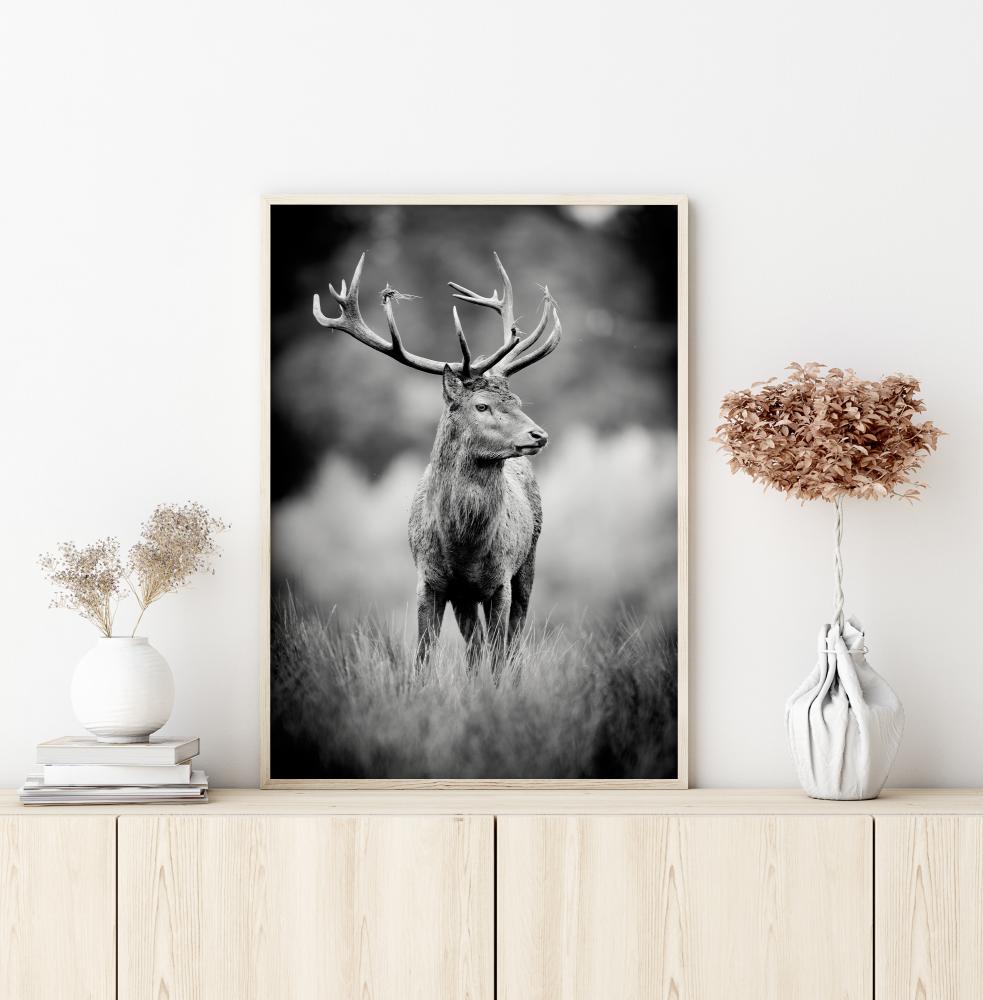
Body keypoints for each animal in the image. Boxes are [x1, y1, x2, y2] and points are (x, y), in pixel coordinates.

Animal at [313, 251, 561, 673]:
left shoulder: (499, 580)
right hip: (466, 595)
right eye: (481, 406)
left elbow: (499, 657)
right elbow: (423, 658)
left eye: (517, 401)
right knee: (475, 648)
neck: (464, 547)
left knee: (512, 643)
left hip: (528, 560)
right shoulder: (429, 581)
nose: (538, 435)